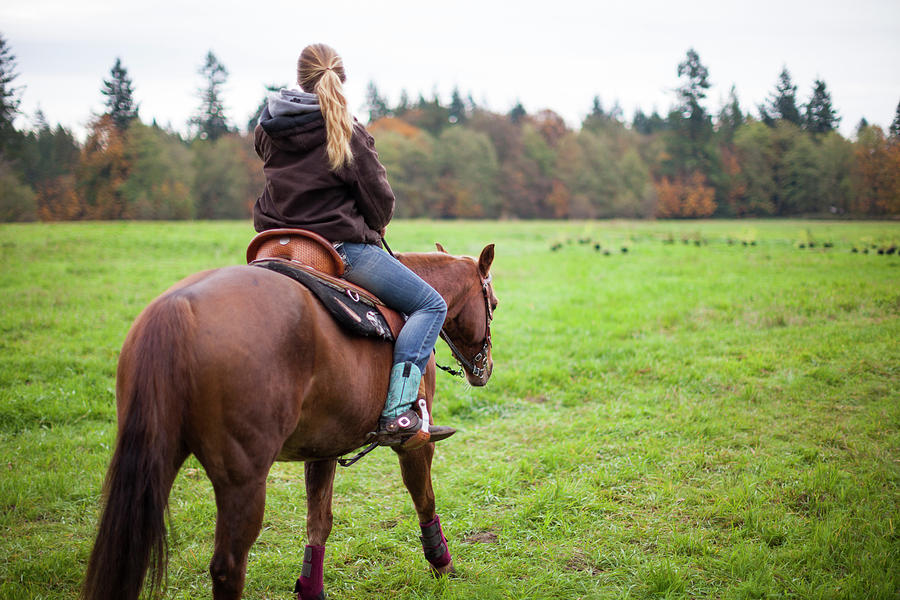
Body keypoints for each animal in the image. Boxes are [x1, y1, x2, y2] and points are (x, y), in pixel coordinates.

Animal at [81, 241, 496, 596]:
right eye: (492, 302)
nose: (485, 368)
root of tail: (178, 309)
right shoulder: (414, 444)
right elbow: (423, 498)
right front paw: (441, 563)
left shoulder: (323, 447)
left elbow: (319, 524)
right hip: (243, 480)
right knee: (227, 567)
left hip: (158, 459)